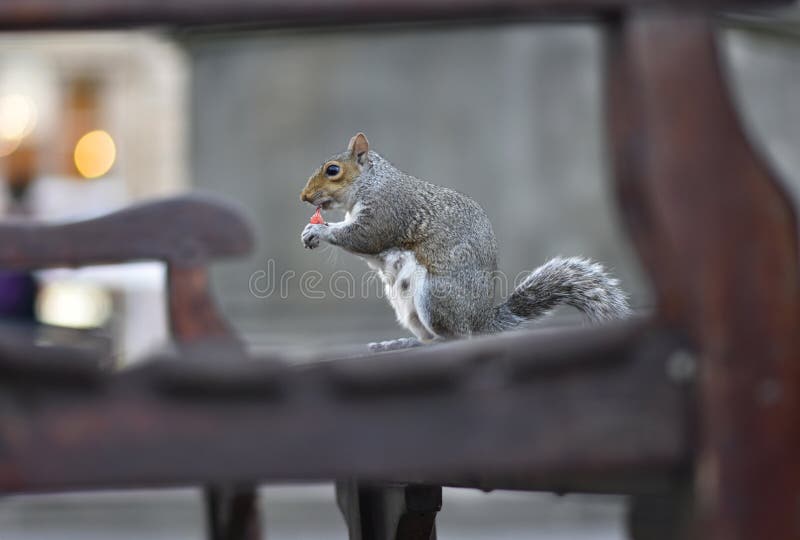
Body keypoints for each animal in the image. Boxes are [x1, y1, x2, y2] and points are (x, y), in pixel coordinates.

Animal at [300, 133, 631, 352]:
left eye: (333, 170)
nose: (303, 197)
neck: (371, 182)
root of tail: (481, 321)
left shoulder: (388, 211)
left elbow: (364, 237)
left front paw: (321, 231)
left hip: (435, 295)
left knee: (456, 337)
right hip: (406, 305)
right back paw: (403, 342)